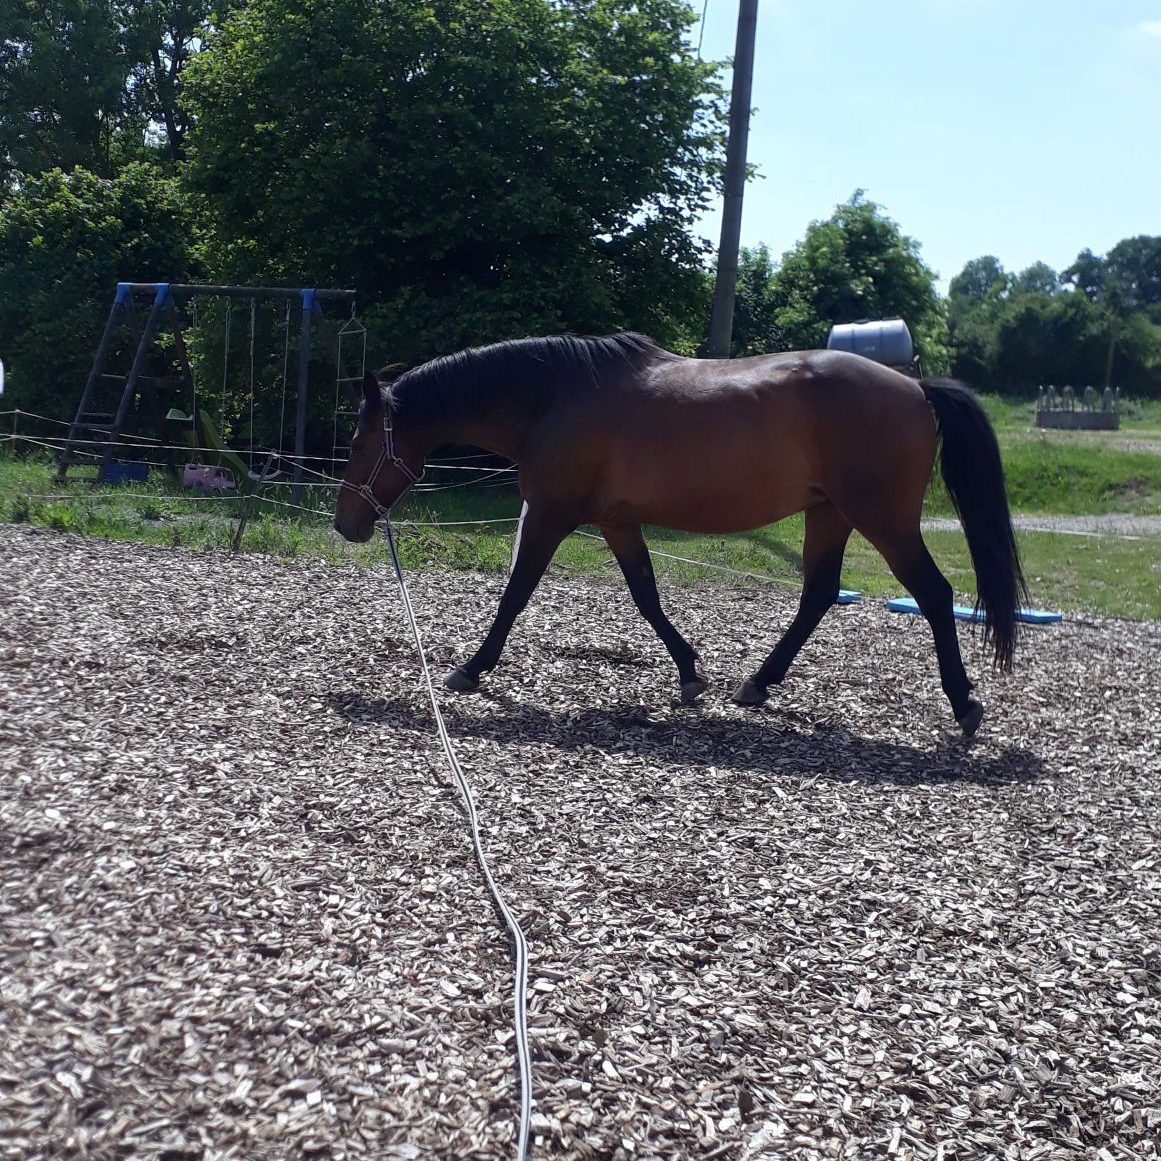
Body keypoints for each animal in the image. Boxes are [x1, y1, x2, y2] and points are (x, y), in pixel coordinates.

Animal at [334, 333, 1026, 736]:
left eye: (360, 441)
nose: (346, 523)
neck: (551, 398)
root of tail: (914, 386)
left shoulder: (552, 514)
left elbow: (515, 594)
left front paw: (470, 670)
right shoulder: (615, 520)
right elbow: (646, 595)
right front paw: (691, 673)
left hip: (881, 520)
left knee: (934, 595)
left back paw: (964, 705)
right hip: (829, 513)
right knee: (819, 595)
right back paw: (757, 684)